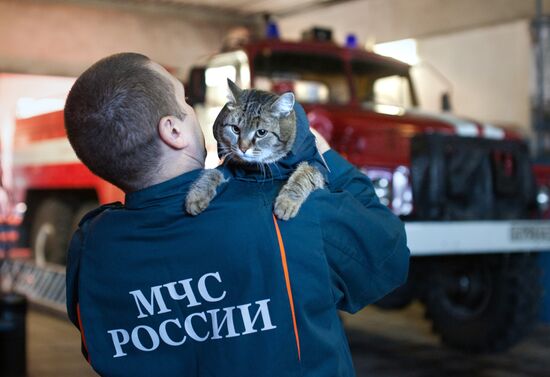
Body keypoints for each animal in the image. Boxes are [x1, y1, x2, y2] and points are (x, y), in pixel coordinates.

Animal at [187, 79, 324, 220]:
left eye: (261, 132)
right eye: (235, 129)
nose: (243, 148)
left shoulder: (316, 164)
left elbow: (303, 175)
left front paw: (287, 201)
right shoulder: (229, 165)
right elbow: (211, 173)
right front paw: (197, 194)